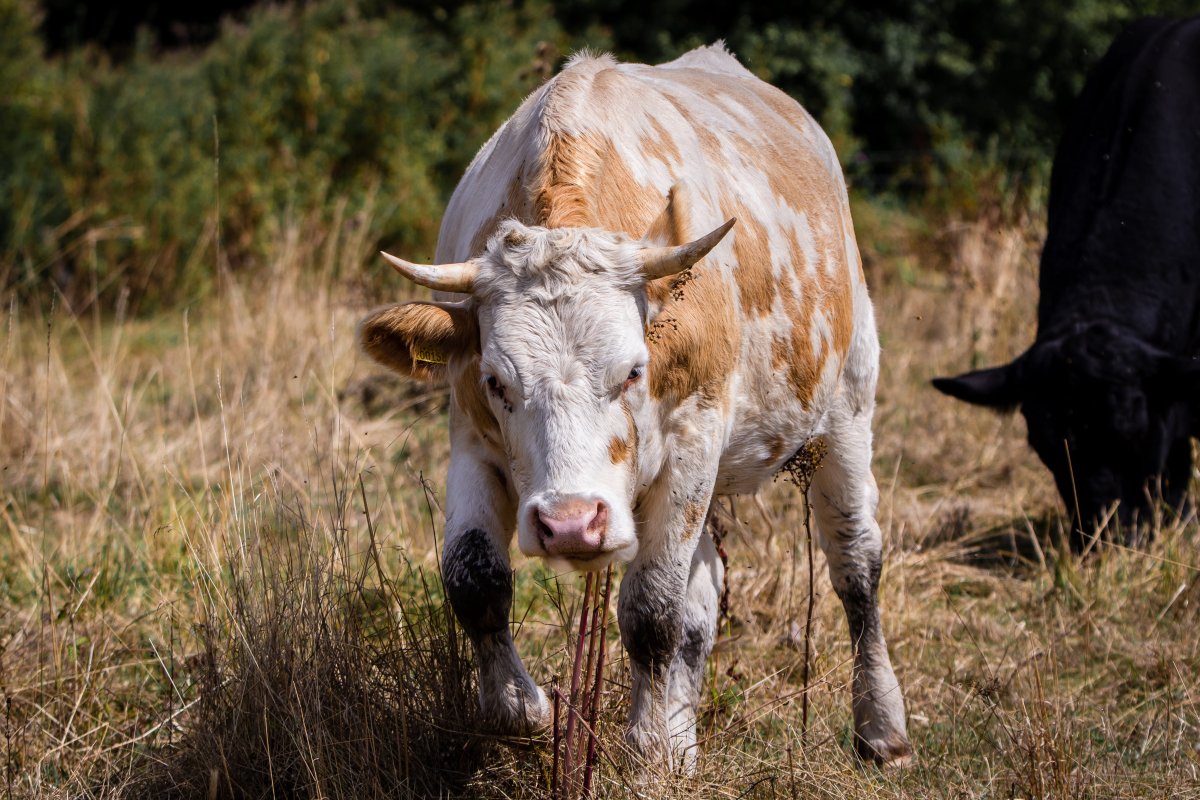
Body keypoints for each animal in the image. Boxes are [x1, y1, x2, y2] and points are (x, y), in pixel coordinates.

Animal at [355, 43, 907, 767]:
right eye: (498, 382)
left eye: (633, 371)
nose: (569, 524)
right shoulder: (471, 439)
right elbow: (473, 580)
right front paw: (525, 710)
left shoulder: (694, 441)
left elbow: (653, 608)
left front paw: (645, 751)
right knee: (704, 594)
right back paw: (682, 737)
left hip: (845, 408)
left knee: (855, 561)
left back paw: (881, 724)